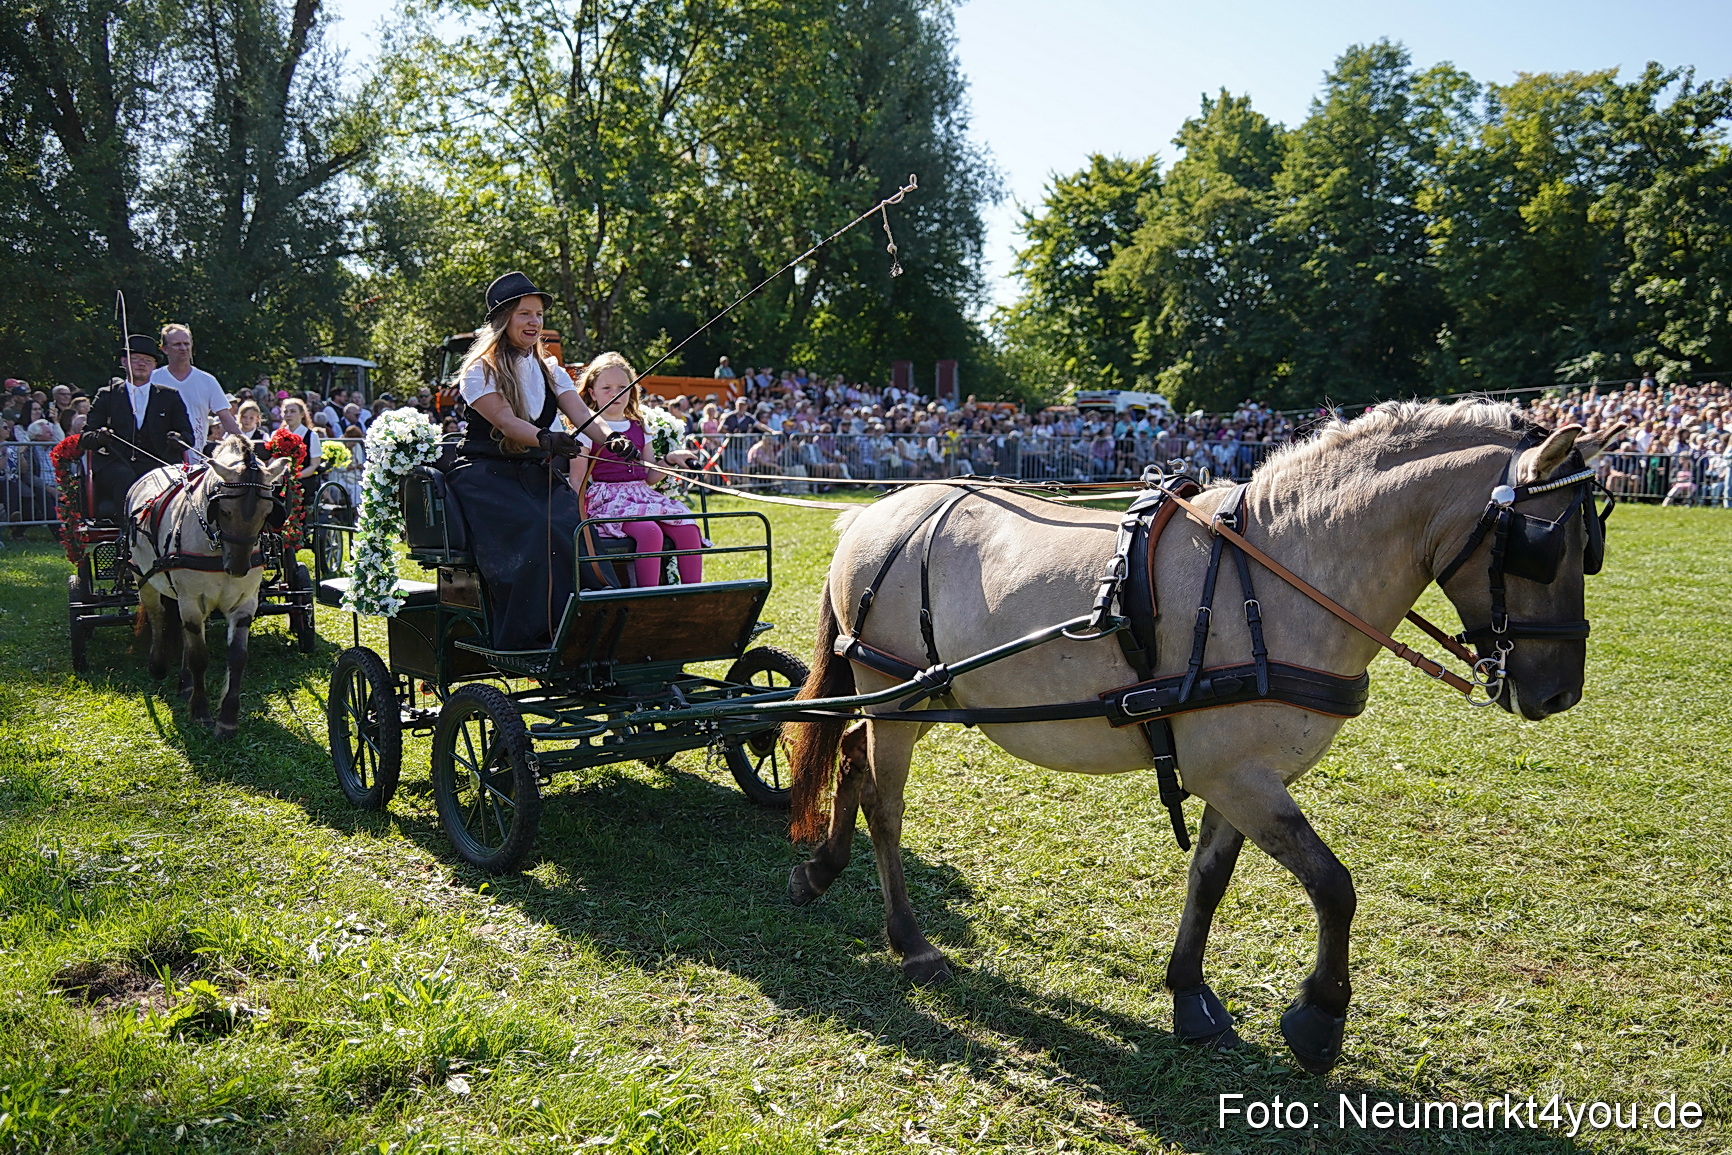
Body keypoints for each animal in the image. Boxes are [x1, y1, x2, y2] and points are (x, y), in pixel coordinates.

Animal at [125, 435, 293, 739]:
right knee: (157, 615)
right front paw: (200, 712)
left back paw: (185, 683)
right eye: (223, 511)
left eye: (267, 512)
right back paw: (158, 665)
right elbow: (199, 656)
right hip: (143, 578)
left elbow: (237, 657)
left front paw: (227, 719)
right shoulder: (191, 600)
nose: (237, 568)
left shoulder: (244, 603)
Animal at [785, 399, 1616, 1075]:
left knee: (852, 766)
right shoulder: (1241, 776)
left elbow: (1210, 880)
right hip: (893, 691)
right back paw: (910, 939)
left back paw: (822, 870)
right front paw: (1320, 1018)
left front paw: (1189, 993)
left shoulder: (1234, 774)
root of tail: (870, 515)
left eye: (1591, 547)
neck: (1278, 577)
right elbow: (1334, 885)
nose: (1560, 692)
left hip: (910, 698)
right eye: (1545, 546)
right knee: (885, 804)